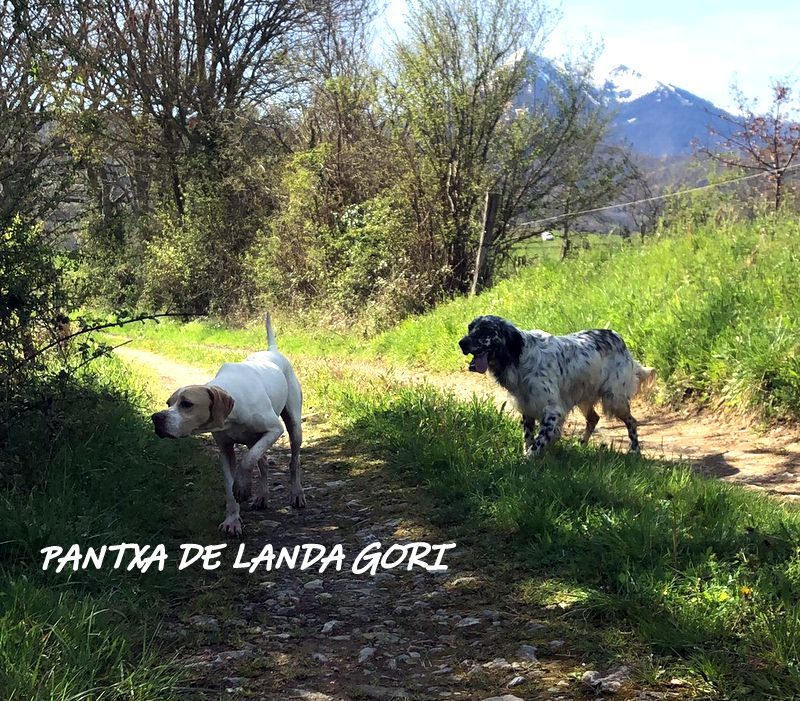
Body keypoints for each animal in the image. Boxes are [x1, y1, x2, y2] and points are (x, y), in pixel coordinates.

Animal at [151, 314, 304, 532]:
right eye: (168, 403)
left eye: (187, 404)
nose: (156, 418)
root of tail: (273, 350)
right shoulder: (224, 450)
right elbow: (231, 486)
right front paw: (232, 520)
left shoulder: (274, 429)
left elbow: (247, 460)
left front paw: (242, 486)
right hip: (255, 439)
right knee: (263, 463)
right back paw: (262, 495)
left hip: (293, 426)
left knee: (293, 461)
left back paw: (297, 493)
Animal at [456, 314, 656, 456]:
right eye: (470, 328)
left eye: (486, 331)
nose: (461, 343)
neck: (519, 358)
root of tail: (618, 337)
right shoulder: (527, 407)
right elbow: (528, 439)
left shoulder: (553, 411)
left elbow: (536, 445)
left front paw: (525, 462)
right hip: (585, 397)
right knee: (593, 418)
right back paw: (582, 446)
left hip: (614, 398)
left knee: (632, 421)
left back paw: (635, 450)